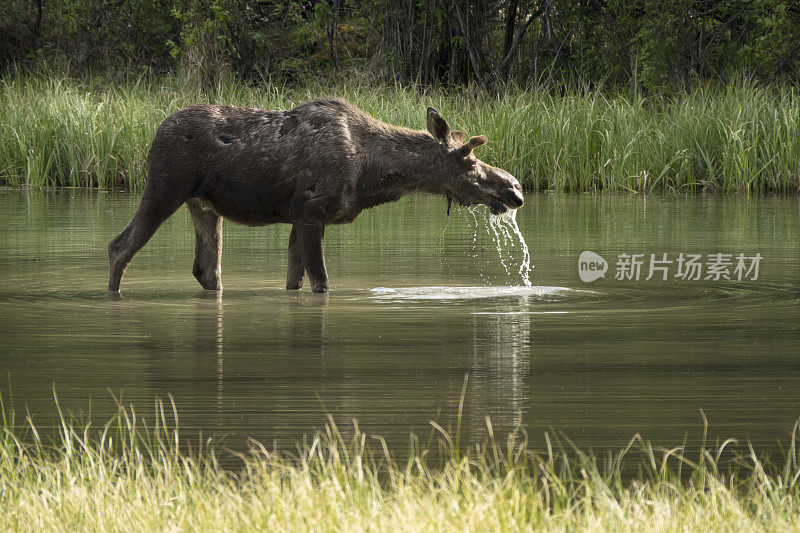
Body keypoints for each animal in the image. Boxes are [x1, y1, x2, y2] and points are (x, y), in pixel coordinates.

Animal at [111, 97, 524, 294]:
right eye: (469, 159)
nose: (515, 188)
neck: (373, 172)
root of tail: (155, 132)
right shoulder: (310, 210)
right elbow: (321, 282)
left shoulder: (298, 217)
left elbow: (294, 281)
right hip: (164, 187)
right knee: (120, 245)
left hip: (204, 205)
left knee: (206, 268)